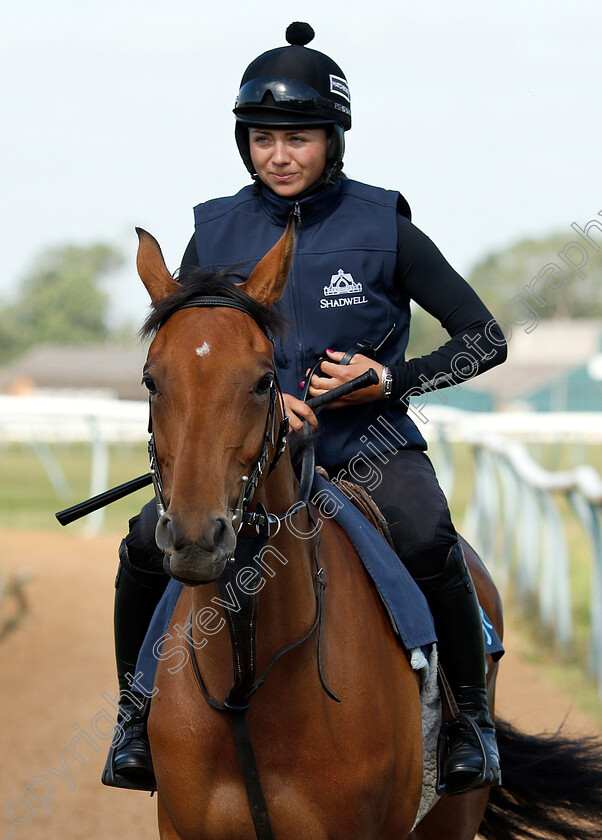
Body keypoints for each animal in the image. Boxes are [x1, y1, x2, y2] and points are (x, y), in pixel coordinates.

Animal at [136, 225, 600, 840]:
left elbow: (482, 333)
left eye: (263, 381)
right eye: (151, 380)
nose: (195, 536)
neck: (247, 682)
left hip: (453, 813)